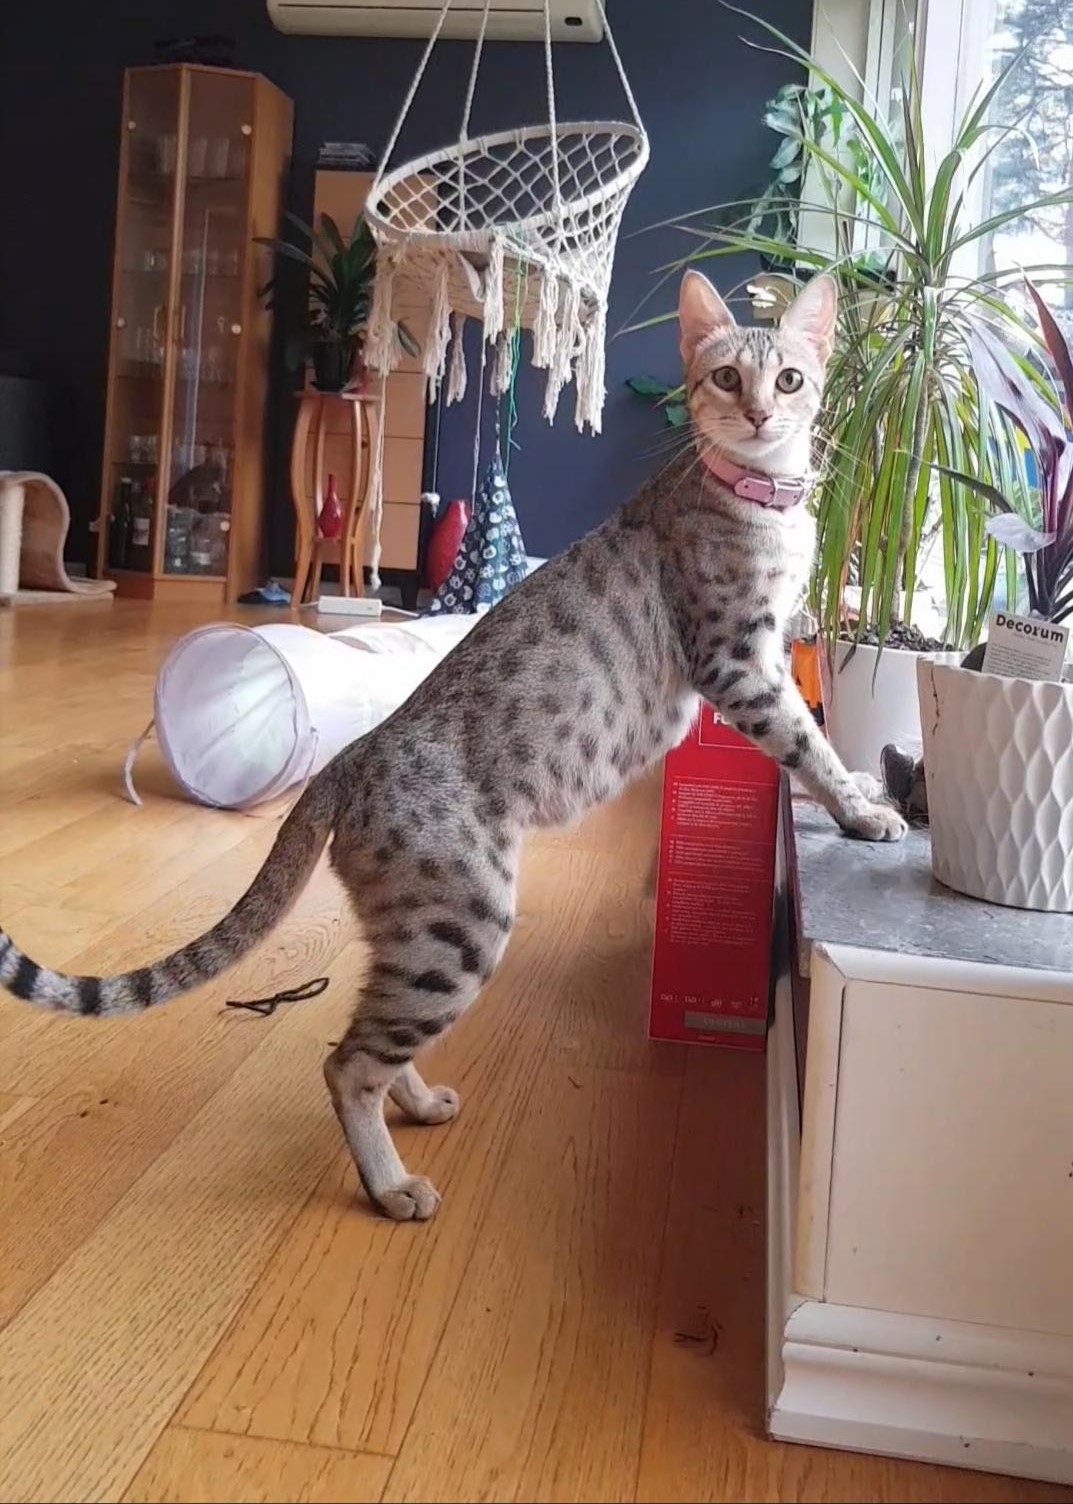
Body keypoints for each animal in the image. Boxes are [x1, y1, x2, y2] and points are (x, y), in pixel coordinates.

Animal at [0, 270, 905, 1222]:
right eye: (728, 378)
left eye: (791, 380)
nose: (763, 415)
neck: (765, 503)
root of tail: (346, 761)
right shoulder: (736, 661)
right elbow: (805, 741)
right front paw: (862, 809)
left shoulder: (761, 654)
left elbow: (812, 733)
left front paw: (857, 793)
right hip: (461, 923)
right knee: (346, 1062)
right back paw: (391, 1184)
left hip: (415, 935)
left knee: (366, 1037)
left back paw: (421, 1103)